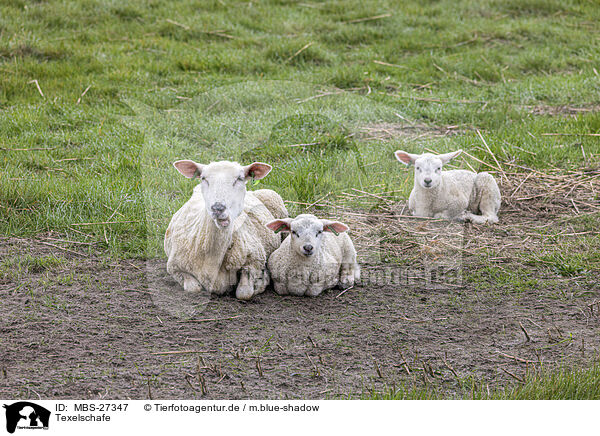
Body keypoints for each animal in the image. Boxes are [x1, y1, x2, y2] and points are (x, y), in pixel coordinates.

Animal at [163, 159, 288, 300]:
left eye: (239, 178)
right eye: (203, 178)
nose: (218, 208)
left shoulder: (255, 260)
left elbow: (244, 293)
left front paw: (263, 280)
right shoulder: (175, 268)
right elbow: (193, 288)